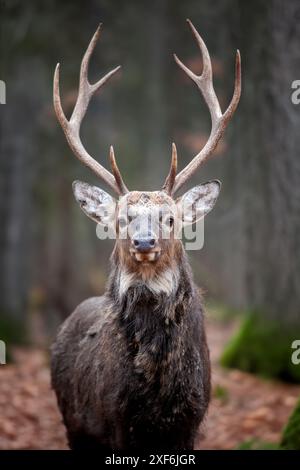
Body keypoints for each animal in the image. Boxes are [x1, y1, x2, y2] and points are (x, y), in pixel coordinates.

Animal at [50, 19, 240, 452]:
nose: (144, 242)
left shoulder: (192, 419)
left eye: (169, 218)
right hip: (73, 422)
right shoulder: (115, 421)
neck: (159, 391)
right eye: (123, 219)